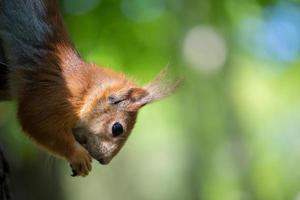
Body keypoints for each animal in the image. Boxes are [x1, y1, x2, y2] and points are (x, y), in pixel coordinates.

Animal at [0, 0, 179, 177]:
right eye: (117, 129)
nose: (104, 161)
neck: (86, 91)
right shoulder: (53, 95)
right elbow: (37, 122)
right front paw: (79, 156)